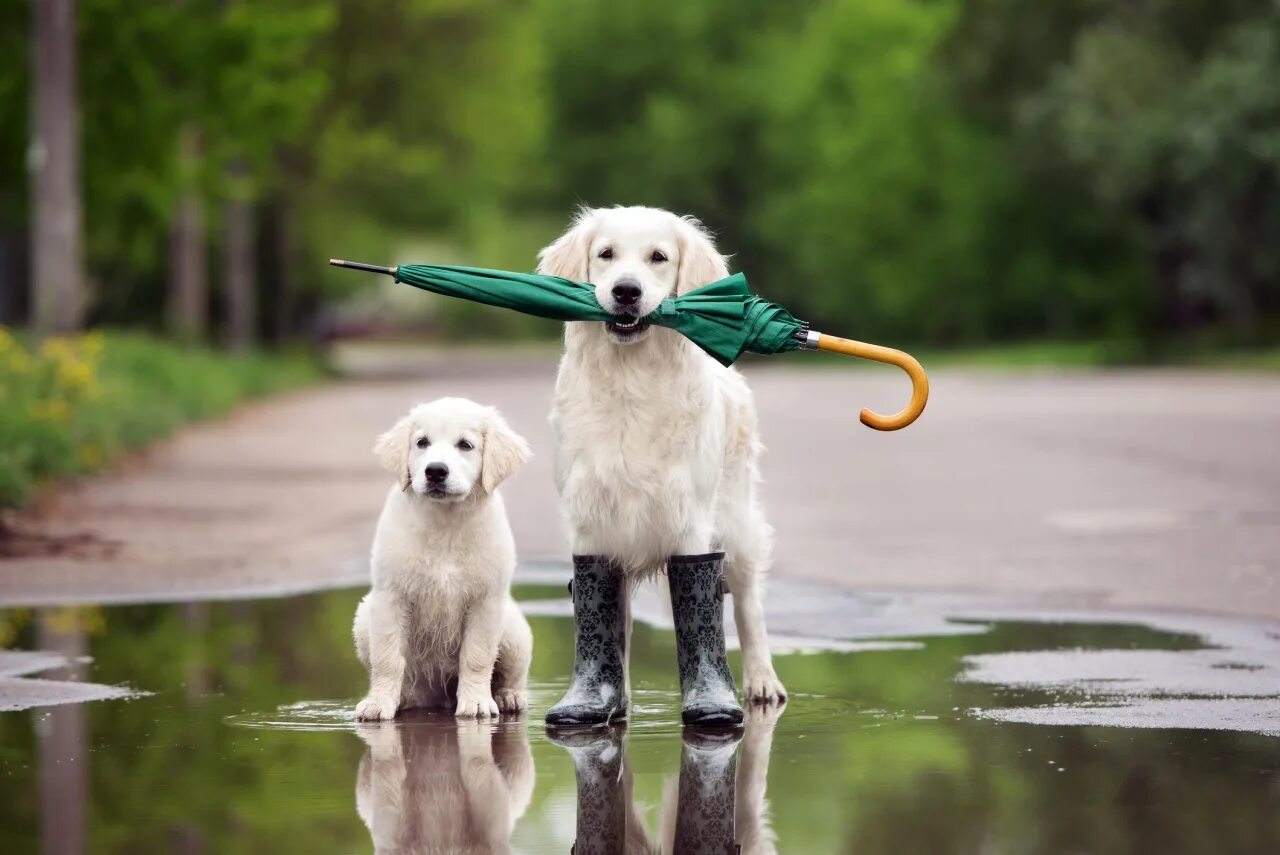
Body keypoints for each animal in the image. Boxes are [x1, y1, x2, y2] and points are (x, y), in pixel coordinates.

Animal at [353, 396, 532, 716]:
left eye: (465, 445)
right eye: (421, 442)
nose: (435, 471)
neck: (445, 524)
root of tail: (438, 699)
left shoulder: (486, 600)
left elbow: (477, 656)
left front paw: (476, 702)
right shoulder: (390, 596)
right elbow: (387, 658)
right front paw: (378, 704)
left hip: (514, 631)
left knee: (512, 674)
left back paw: (508, 696)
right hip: (364, 616)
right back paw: (404, 699)